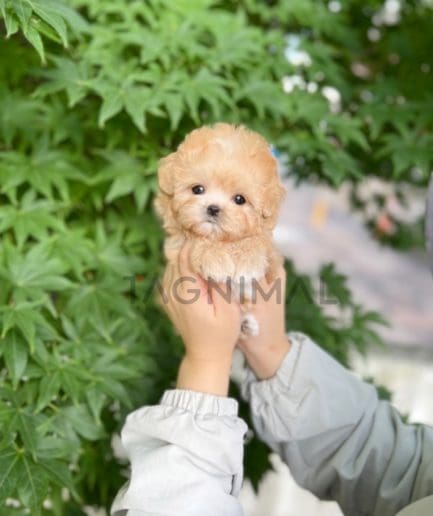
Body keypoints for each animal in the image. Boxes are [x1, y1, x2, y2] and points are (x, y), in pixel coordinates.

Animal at [154, 123, 286, 336]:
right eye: (197, 189)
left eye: (240, 199)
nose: (213, 208)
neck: (222, 241)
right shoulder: (176, 243)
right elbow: (198, 241)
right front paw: (215, 260)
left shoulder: (272, 256)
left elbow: (258, 242)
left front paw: (248, 261)